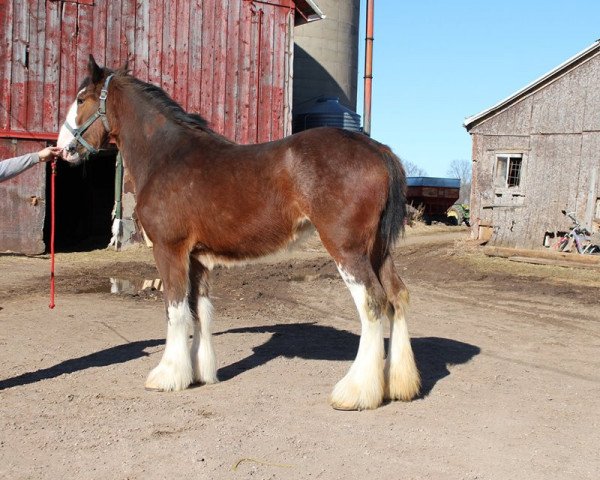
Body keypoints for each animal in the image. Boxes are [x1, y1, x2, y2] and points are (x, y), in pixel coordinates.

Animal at [57, 55, 422, 408]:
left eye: (80, 99)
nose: (63, 148)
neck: (166, 156)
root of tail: (378, 150)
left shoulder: (169, 249)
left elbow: (175, 309)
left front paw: (167, 376)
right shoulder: (198, 258)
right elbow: (200, 311)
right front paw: (200, 373)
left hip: (347, 249)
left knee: (373, 303)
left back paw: (355, 392)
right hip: (377, 250)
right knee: (396, 296)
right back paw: (398, 385)